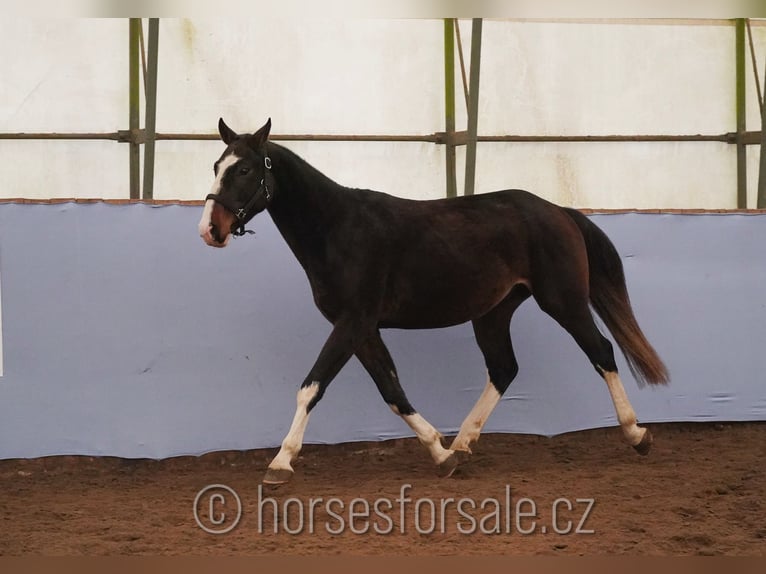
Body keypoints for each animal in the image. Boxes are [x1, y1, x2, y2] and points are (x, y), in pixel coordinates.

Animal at [201, 118, 668, 486]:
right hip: (493, 314)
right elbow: (392, 390)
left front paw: (280, 463)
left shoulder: (352, 322)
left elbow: (312, 387)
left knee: (601, 352)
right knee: (504, 369)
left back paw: (636, 434)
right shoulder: (363, 329)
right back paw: (462, 443)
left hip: (563, 301)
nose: (210, 230)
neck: (339, 229)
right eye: (216, 166)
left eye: (244, 169)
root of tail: (558, 211)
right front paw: (441, 455)